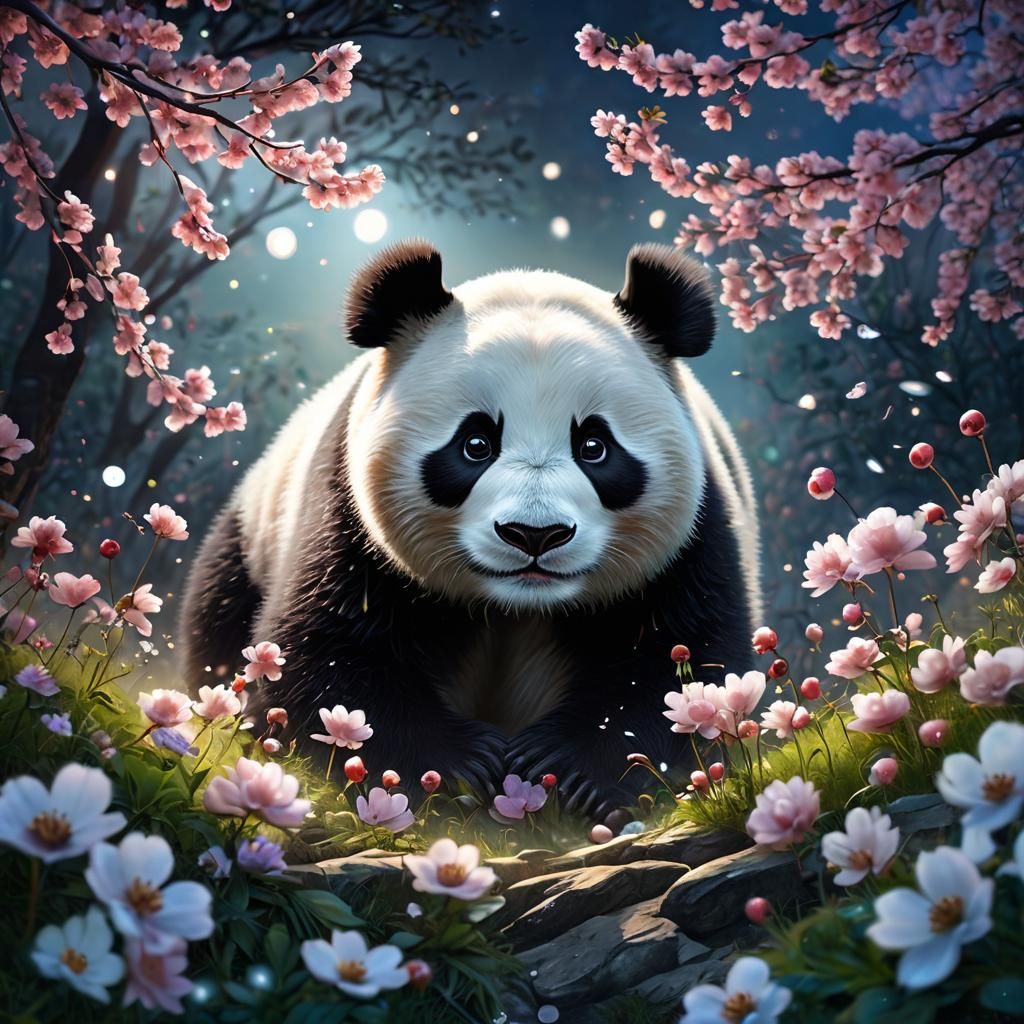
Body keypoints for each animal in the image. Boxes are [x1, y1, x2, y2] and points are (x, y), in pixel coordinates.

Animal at [179, 240, 760, 818]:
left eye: (594, 446)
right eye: (475, 444)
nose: (534, 534)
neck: (517, 606)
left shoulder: (695, 536)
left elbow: (681, 662)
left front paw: (564, 772)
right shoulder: (346, 517)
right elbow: (323, 656)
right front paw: (466, 767)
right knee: (219, 619)